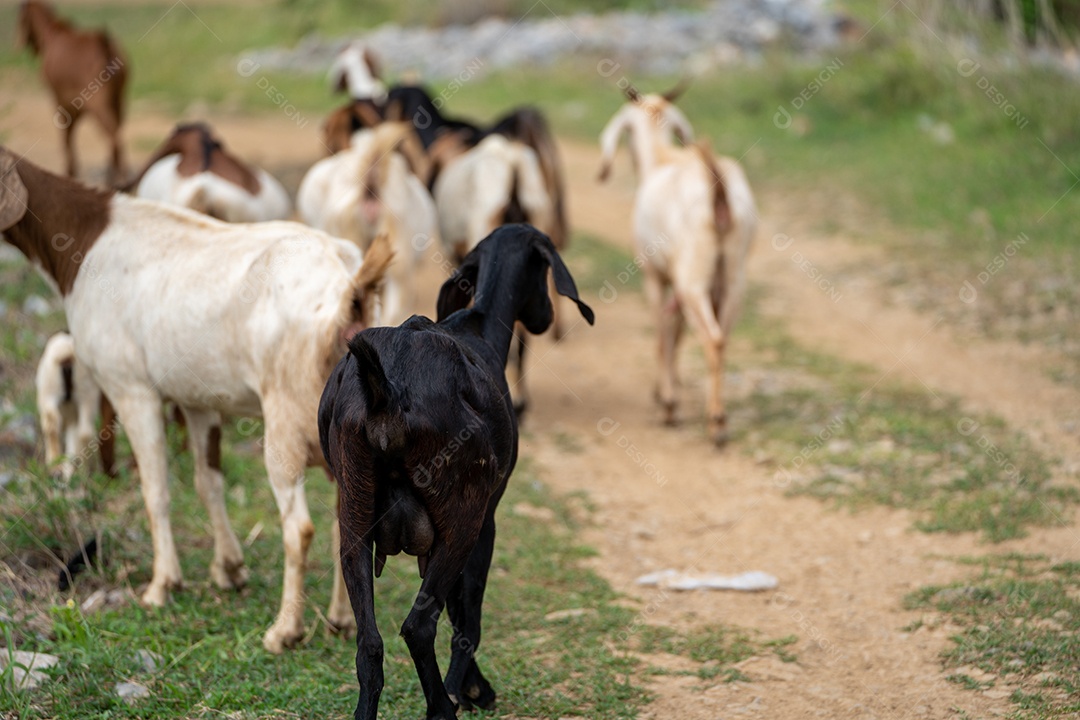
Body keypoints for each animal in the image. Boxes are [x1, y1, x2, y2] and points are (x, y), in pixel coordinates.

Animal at [17, 0, 128, 184]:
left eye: (20, 17)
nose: (21, 42)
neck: (53, 34)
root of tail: (103, 44)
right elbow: (70, 132)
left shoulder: (60, 98)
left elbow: (66, 133)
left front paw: (69, 172)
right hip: (118, 100)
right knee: (118, 130)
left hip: (99, 103)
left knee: (112, 133)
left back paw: (115, 178)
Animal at [35, 331, 116, 480]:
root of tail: (67, 353)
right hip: (85, 395)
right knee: (84, 431)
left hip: (51, 392)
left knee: (53, 424)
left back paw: (57, 467)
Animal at [318, 224, 594, 720]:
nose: (545, 318)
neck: (478, 325)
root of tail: (389, 393)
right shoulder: (485, 521)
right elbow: (467, 618)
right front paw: (465, 689)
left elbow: (452, 609)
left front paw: (472, 687)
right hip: (463, 519)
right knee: (418, 627)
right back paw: (441, 707)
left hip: (353, 520)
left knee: (370, 643)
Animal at [598, 88, 757, 445]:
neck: (661, 158)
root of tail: (719, 194)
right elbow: (679, 331)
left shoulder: (654, 275)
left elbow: (661, 330)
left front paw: (667, 399)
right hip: (731, 279)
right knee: (721, 338)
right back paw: (718, 418)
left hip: (693, 277)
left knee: (711, 338)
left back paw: (713, 422)